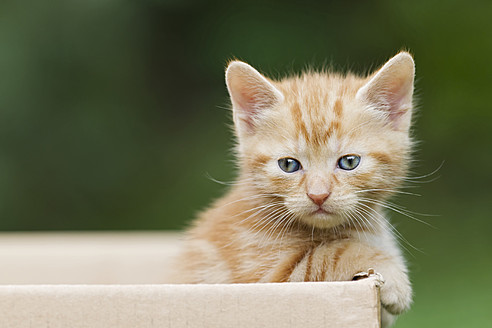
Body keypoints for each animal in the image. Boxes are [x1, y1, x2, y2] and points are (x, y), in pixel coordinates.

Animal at [176, 52, 416, 326]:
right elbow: (330, 254)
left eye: (349, 162)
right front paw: (394, 278)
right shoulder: (267, 279)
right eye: (288, 165)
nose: (318, 195)